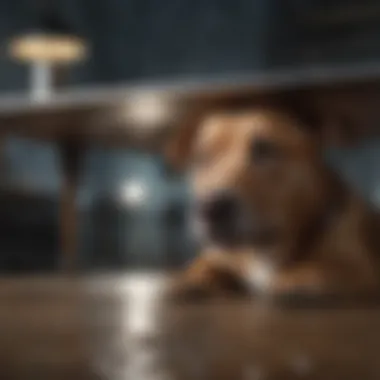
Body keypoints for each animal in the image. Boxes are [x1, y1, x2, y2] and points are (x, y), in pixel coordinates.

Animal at [166, 99, 380, 302]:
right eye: (202, 157)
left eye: (265, 149)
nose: (210, 209)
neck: (264, 250)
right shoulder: (222, 255)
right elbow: (206, 263)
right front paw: (191, 278)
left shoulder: (359, 266)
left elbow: (331, 269)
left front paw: (300, 277)